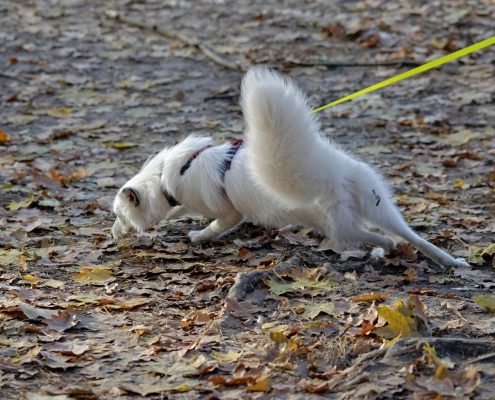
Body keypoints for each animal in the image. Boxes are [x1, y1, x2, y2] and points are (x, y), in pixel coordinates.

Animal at [111, 68, 468, 268]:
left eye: (118, 216)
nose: (111, 235)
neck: (166, 176)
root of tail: (328, 176)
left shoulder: (228, 212)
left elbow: (212, 225)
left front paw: (198, 236)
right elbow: (178, 210)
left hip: (339, 227)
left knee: (374, 237)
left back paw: (386, 250)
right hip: (375, 206)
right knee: (409, 236)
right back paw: (447, 261)